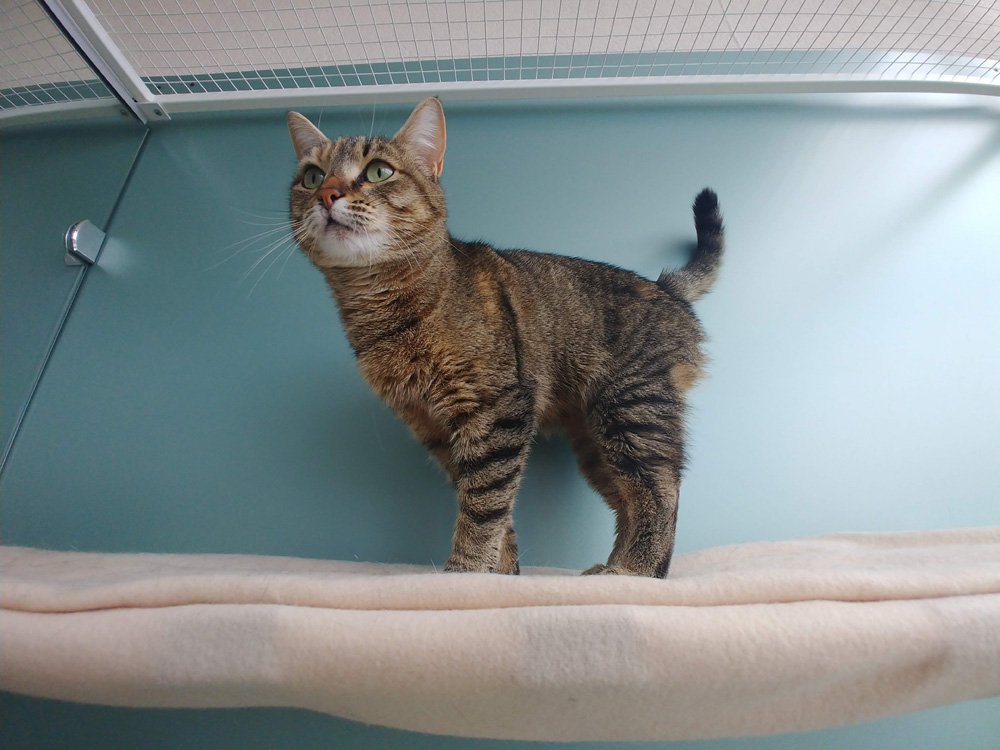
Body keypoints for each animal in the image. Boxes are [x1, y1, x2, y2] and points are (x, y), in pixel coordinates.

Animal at [286, 98, 723, 578]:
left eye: (379, 171)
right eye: (312, 177)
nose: (328, 194)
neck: (383, 309)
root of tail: (665, 288)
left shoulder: (495, 411)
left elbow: (484, 504)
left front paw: (464, 571)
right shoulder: (437, 429)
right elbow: (494, 507)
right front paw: (502, 573)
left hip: (631, 412)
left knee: (660, 490)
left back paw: (635, 571)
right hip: (596, 443)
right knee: (627, 499)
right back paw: (611, 566)